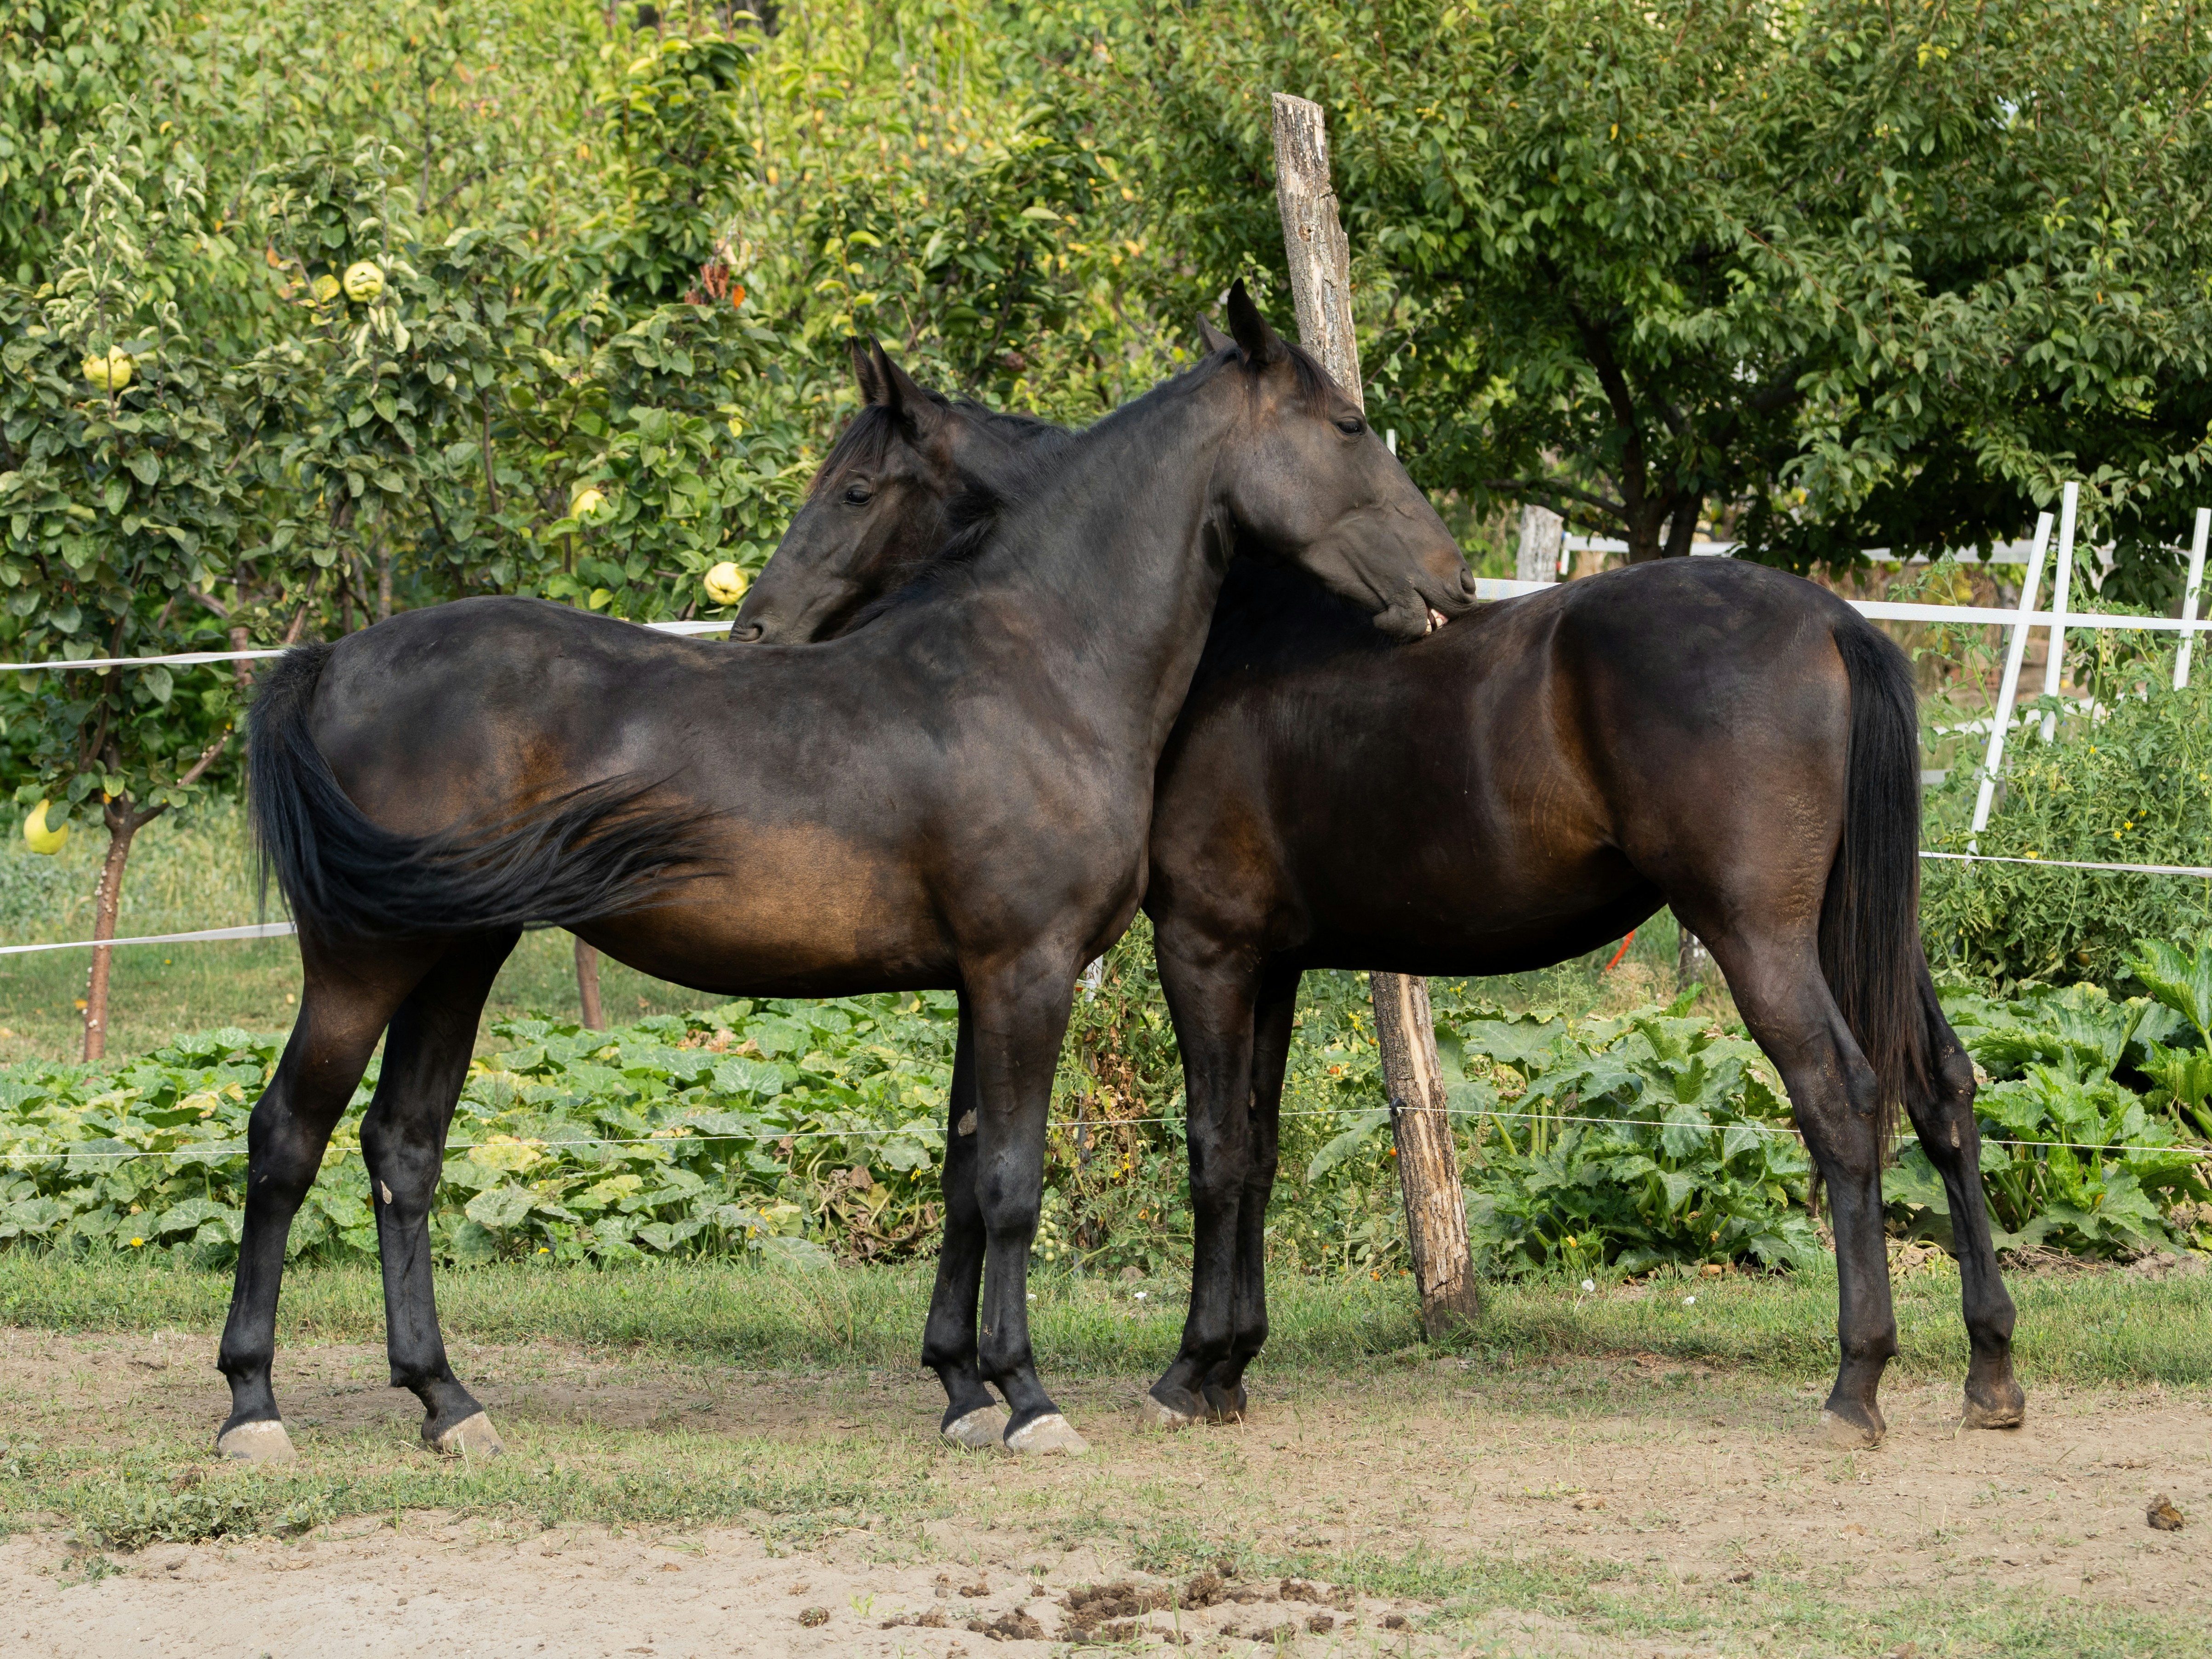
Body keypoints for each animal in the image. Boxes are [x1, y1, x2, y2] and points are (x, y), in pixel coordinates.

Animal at [216, 283, 1478, 1463]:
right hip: (366, 962)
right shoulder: (1026, 971)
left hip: (456, 955)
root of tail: (333, 659)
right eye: (1349, 423)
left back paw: (446, 1399)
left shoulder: (977, 980)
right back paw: (252, 1405)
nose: (1452, 584)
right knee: (286, 1137)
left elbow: (964, 1174)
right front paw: (1026, 1397)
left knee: (402, 1148)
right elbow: (1012, 1184)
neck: (1035, 668)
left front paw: (964, 1392)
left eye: (858, 492)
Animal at [735, 343, 2026, 1451]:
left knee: (1843, 1097)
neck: (1212, 640)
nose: (754, 624)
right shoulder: (1272, 960)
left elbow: (1211, 1150)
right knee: (1940, 1090)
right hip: (1855, 934)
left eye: (853, 488)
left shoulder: (1203, 947)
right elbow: (1255, 1149)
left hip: (1758, 937)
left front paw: (1185, 1368)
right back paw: (1989, 1366)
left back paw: (1856, 1378)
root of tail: (1835, 617)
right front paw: (1227, 1363)